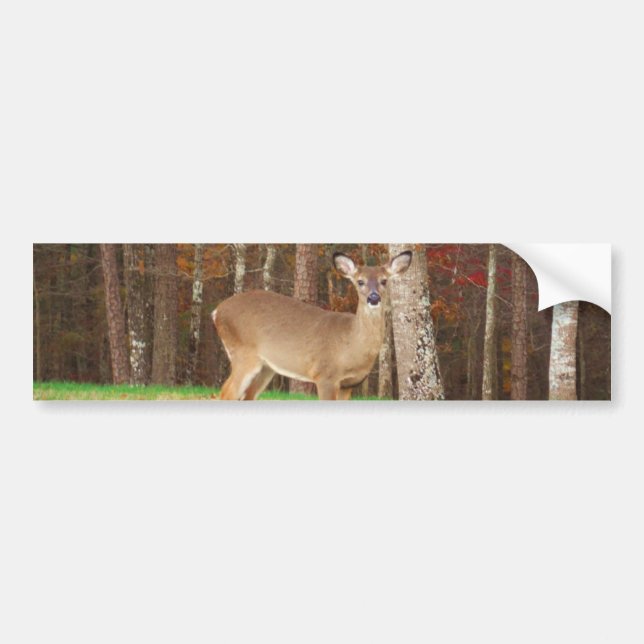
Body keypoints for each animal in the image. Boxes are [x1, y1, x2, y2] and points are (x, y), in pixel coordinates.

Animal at [212, 250, 412, 400]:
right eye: (360, 281)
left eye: (384, 280)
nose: (374, 298)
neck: (350, 345)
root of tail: (217, 311)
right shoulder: (325, 375)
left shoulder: (348, 384)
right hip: (243, 354)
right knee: (227, 393)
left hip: (266, 367)